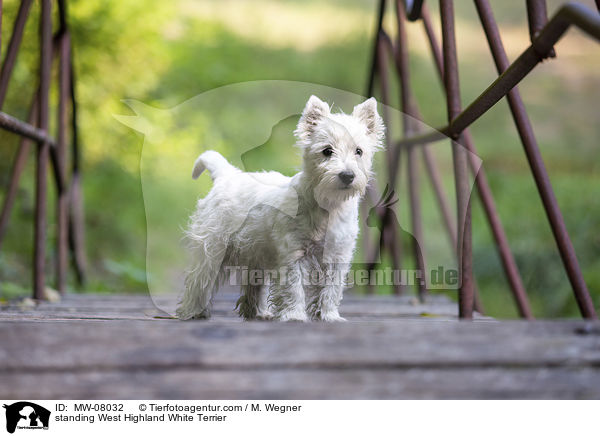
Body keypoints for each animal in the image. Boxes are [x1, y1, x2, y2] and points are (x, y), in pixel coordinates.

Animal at [178, 95, 384, 320]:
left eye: (359, 151)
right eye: (327, 151)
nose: (347, 176)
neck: (328, 207)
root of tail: (226, 175)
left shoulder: (337, 256)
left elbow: (331, 290)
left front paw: (328, 316)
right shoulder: (292, 253)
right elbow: (294, 288)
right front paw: (294, 315)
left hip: (255, 255)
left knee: (254, 288)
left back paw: (259, 312)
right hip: (212, 249)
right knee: (199, 282)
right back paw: (194, 312)